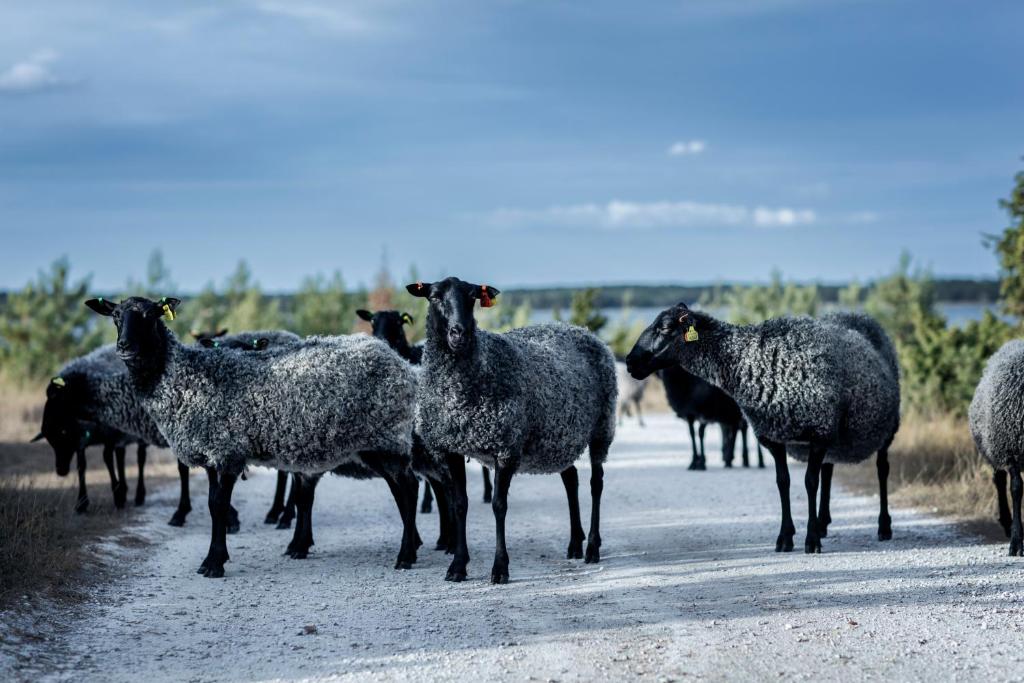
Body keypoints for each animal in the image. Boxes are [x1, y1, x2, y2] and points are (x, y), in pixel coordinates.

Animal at [88, 296, 419, 581]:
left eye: (150, 315)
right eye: (116, 316)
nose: (124, 346)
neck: (183, 376)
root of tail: (400, 364)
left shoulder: (227, 451)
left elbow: (218, 505)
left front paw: (214, 563)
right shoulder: (211, 454)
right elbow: (213, 504)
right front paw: (214, 559)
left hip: (385, 438)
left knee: (408, 488)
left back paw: (406, 554)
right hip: (380, 442)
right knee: (401, 488)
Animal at [407, 274, 614, 585]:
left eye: (472, 297)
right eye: (434, 297)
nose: (459, 333)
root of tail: (581, 330)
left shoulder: (506, 446)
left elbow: (498, 506)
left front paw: (500, 568)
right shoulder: (452, 448)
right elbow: (460, 504)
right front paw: (458, 566)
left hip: (602, 426)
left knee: (595, 483)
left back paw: (592, 547)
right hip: (558, 435)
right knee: (571, 479)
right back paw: (574, 544)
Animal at [626, 307, 901, 552]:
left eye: (665, 327)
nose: (630, 361)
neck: (746, 361)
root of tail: (857, 315)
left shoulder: (818, 430)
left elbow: (810, 482)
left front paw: (810, 540)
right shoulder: (774, 434)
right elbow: (783, 482)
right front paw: (785, 538)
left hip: (887, 426)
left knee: (882, 469)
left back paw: (883, 527)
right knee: (829, 469)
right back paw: (823, 523)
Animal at [966, 335, 1024, 557]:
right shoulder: (1011, 451)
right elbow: (1016, 489)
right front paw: (1017, 542)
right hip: (994, 448)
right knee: (999, 480)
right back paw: (1007, 524)